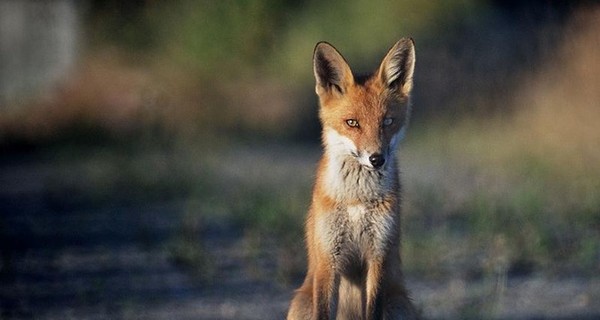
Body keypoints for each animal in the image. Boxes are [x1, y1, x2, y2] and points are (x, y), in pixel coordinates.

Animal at [286, 38, 418, 320]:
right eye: (352, 123)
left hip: (398, 305)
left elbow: (373, 309)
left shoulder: (378, 255)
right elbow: (324, 311)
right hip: (301, 305)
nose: (376, 159)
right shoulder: (329, 259)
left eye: (387, 121)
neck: (357, 200)